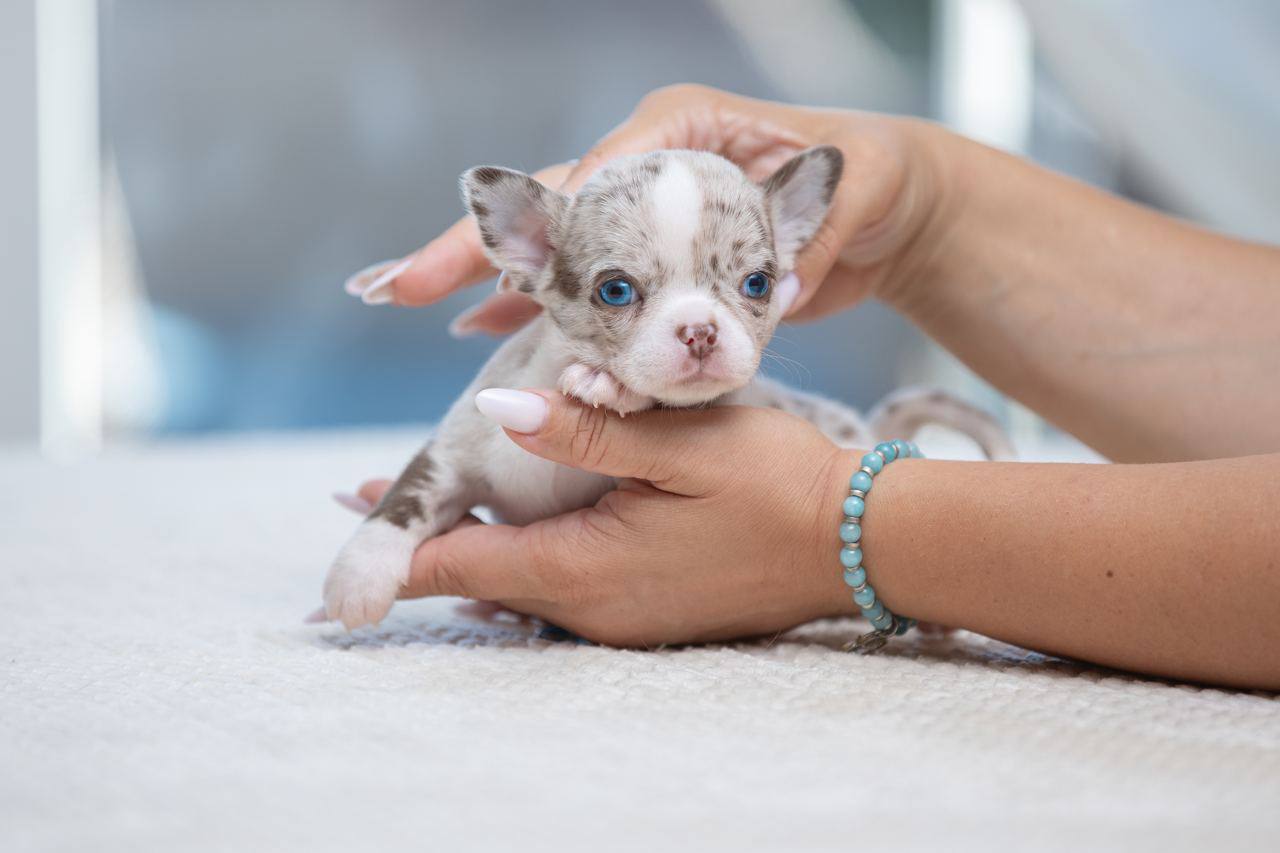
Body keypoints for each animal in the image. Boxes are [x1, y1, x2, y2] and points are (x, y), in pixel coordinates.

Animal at [320, 146, 1008, 627]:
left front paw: (607, 384)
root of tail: (867, 429)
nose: (700, 331)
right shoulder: (456, 451)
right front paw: (355, 578)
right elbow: (404, 500)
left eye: (758, 283)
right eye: (616, 290)